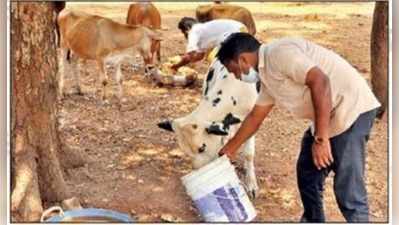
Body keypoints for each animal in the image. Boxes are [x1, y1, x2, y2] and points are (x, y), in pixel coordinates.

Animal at [159, 59, 262, 197]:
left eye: (202, 148)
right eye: (186, 152)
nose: (198, 170)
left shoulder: (252, 118)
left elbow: (248, 154)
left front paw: (251, 184)